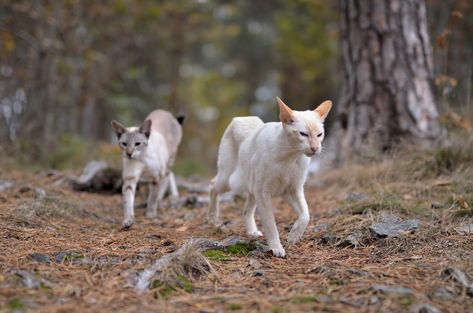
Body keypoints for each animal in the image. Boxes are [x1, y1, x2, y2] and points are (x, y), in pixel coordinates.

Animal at [208, 97, 330, 256]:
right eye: (303, 134)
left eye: (319, 135)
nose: (315, 148)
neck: (290, 157)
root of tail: (242, 118)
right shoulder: (264, 192)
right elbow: (271, 224)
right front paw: (277, 248)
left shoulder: (292, 190)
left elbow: (305, 215)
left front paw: (293, 237)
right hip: (229, 180)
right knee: (212, 185)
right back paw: (213, 220)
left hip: (252, 188)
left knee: (246, 211)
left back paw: (252, 232)